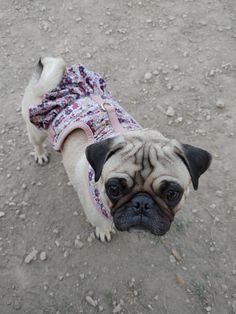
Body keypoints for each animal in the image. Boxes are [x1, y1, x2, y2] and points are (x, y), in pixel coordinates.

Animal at [21, 56, 211, 242]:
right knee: (37, 142)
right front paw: (105, 231)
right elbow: (102, 224)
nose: (142, 203)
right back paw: (40, 155)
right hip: (37, 131)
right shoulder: (96, 214)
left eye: (172, 194)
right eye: (114, 189)